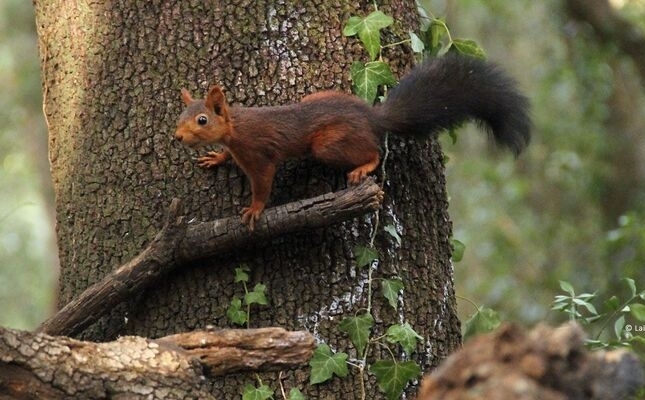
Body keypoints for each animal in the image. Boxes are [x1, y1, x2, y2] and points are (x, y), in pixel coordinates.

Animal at [175, 54, 528, 228]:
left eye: (202, 120)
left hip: (328, 144)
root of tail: (373, 117)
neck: (235, 129)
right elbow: (227, 156)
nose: (177, 136)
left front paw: (254, 209)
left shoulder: (259, 155)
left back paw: (363, 168)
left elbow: (263, 184)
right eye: (179, 117)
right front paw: (216, 157)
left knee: (373, 151)